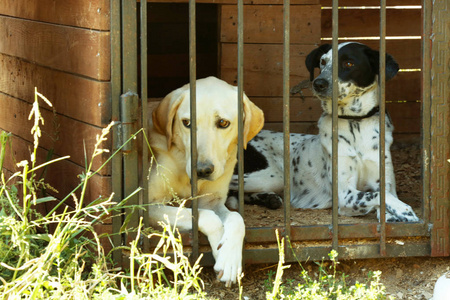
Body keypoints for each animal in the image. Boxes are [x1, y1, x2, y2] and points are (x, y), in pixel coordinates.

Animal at [148, 77, 264, 286]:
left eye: (223, 123)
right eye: (186, 123)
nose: (202, 170)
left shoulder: (212, 202)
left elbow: (237, 218)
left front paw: (230, 258)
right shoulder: (147, 205)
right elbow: (206, 217)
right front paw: (219, 244)